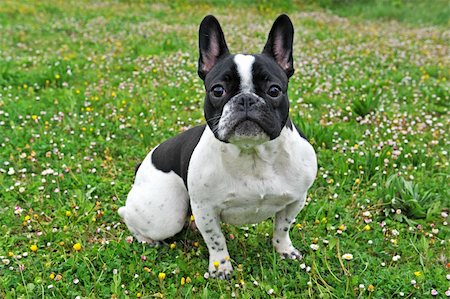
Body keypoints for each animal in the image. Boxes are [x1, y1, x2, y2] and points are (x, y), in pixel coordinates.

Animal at [118, 13, 316, 282]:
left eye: (274, 90)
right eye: (218, 90)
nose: (246, 99)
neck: (252, 154)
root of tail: (144, 163)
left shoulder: (295, 199)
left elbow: (282, 228)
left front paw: (284, 250)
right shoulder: (206, 209)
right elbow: (216, 240)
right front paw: (221, 268)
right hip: (164, 215)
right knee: (130, 215)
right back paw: (147, 240)